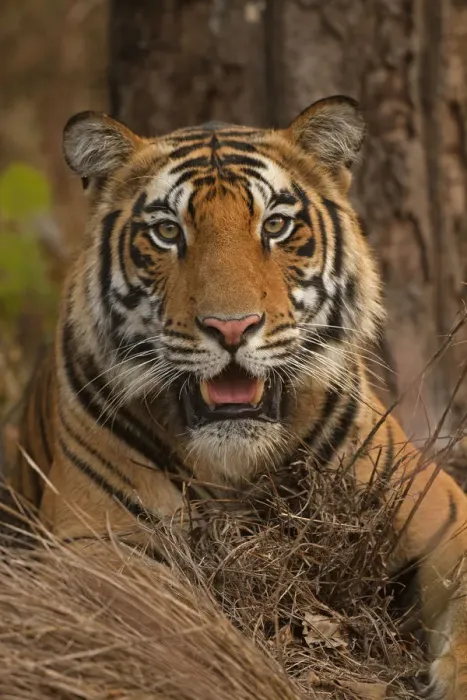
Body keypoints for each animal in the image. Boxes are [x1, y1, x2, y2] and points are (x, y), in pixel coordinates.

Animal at [6, 95, 467, 698]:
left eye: (276, 225)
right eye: (167, 232)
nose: (231, 328)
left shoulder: (442, 511)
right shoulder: (91, 541)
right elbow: (163, 607)